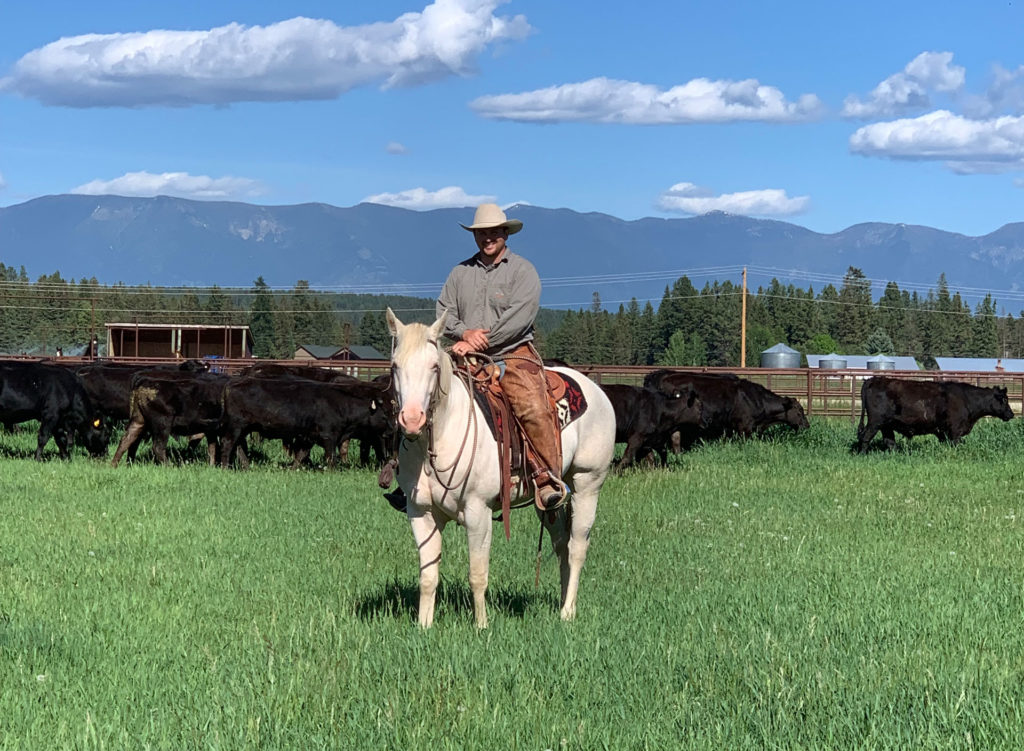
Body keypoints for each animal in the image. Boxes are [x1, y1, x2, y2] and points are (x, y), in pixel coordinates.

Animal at [218, 374, 389, 469]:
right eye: (385, 416)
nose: (391, 430)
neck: (341, 405)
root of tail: (232, 382)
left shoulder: (309, 437)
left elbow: (301, 455)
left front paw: (292, 469)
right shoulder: (328, 436)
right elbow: (330, 457)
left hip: (244, 428)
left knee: (239, 446)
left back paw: (247, 466)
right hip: (236, 426)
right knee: (228, 443)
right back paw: (225, 466)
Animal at [385, 307, 614, 631]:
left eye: (433, 366)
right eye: (395, 366)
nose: (412, 419)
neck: (439, 439)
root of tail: (596, 390)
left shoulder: (477, 512)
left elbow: (477, 574)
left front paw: (481, 626)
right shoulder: (420, 513)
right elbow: (428, 576)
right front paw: (423, 626)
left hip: (588, 483)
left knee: (578, 546)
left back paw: (568, 611)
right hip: (551, 499)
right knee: (561, 545)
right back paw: (559, 603)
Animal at [856, 374, 1015, 450]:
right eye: (1004, 399)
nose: (1011, 414)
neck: (967, 398)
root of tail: (873, 379)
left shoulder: (943, 432)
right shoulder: (955, 431)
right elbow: (956, 444)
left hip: (886, 426)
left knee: (889, 442)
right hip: (875, 422)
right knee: (865, 437)